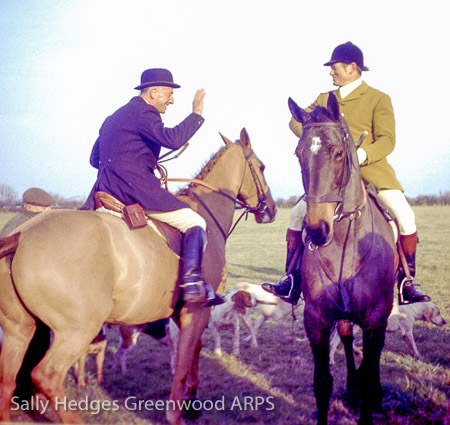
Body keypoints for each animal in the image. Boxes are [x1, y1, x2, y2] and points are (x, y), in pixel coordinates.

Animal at [0, 128, 276, 424]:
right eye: (261, 167)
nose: (270, 210)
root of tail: (22, 235)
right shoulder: (197, 310)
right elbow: (183, 363)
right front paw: (176, 413)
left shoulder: (184, 314)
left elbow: (192, 354)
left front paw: (192, 402)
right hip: (77, 330)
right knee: (46, 376)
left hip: (19, 329)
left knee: (7, 379)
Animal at [288, 95, 398, 424]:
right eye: (298, 154)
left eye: (338, 153)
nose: (316, 229)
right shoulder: (316, 318)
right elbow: (322, 383)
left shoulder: (375, 318)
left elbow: (371, 372)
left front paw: (370, 400)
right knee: (348, 339)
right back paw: (351, 387)